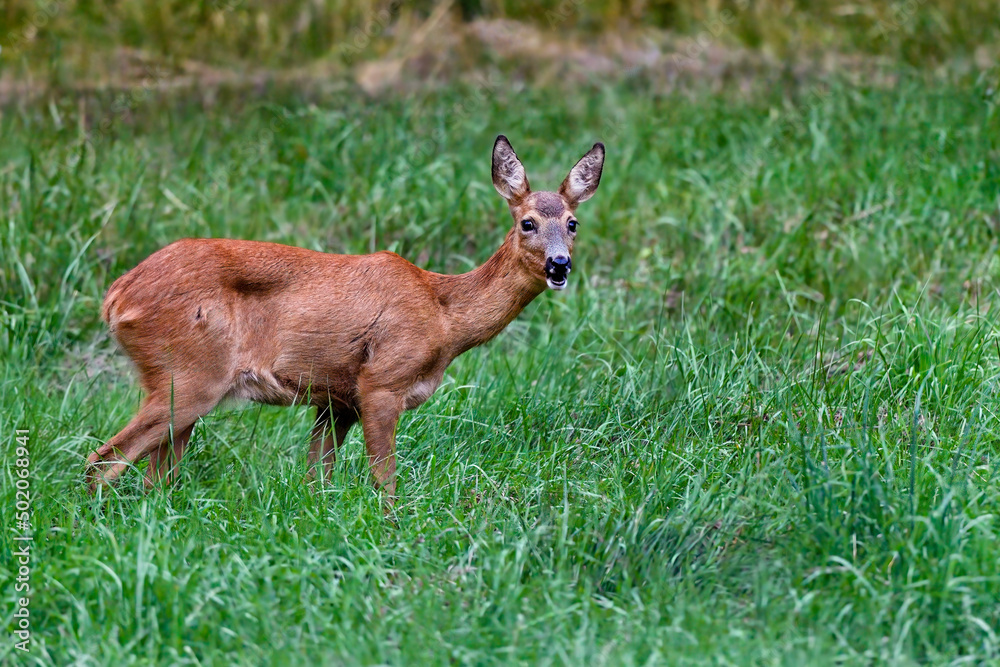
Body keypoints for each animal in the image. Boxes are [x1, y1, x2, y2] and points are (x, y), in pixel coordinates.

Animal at [88, 134, 600, 500]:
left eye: (572, 223)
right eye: (527, 223)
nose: (559, 265)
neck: (443, 314)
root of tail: (116, 297)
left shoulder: (337, 398)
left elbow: (317, 477)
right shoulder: (381, 379)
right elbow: (384, 480)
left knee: (156, 477)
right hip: (189, 374)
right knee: (102, 463)